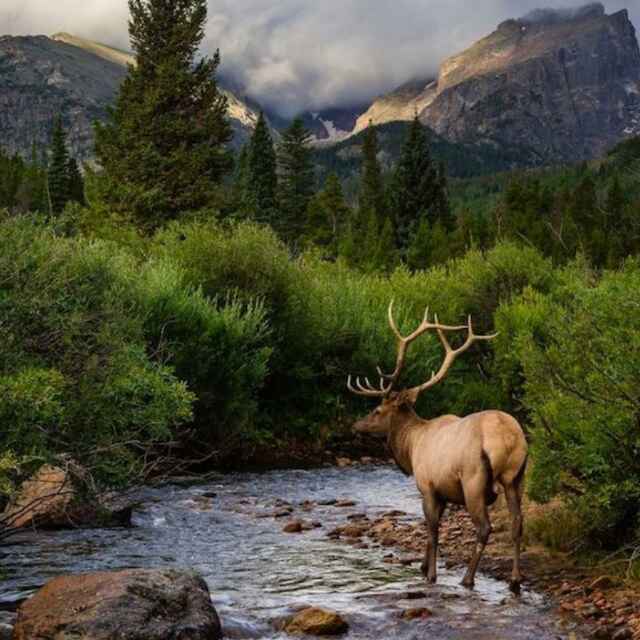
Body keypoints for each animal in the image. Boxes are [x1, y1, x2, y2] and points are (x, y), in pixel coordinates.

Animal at [348, 302, 528, 592]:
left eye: (377, 410)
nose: (355, 426)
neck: (411, 446)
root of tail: (507, 439)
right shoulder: (443, 491)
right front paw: (423, 565)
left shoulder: (428, 486)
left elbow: (432, 529)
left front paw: (430, 574)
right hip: (516, 476)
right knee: (517, 523)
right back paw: (514, 580)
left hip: (474, 480)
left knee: (485, 527)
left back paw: (468, 578)